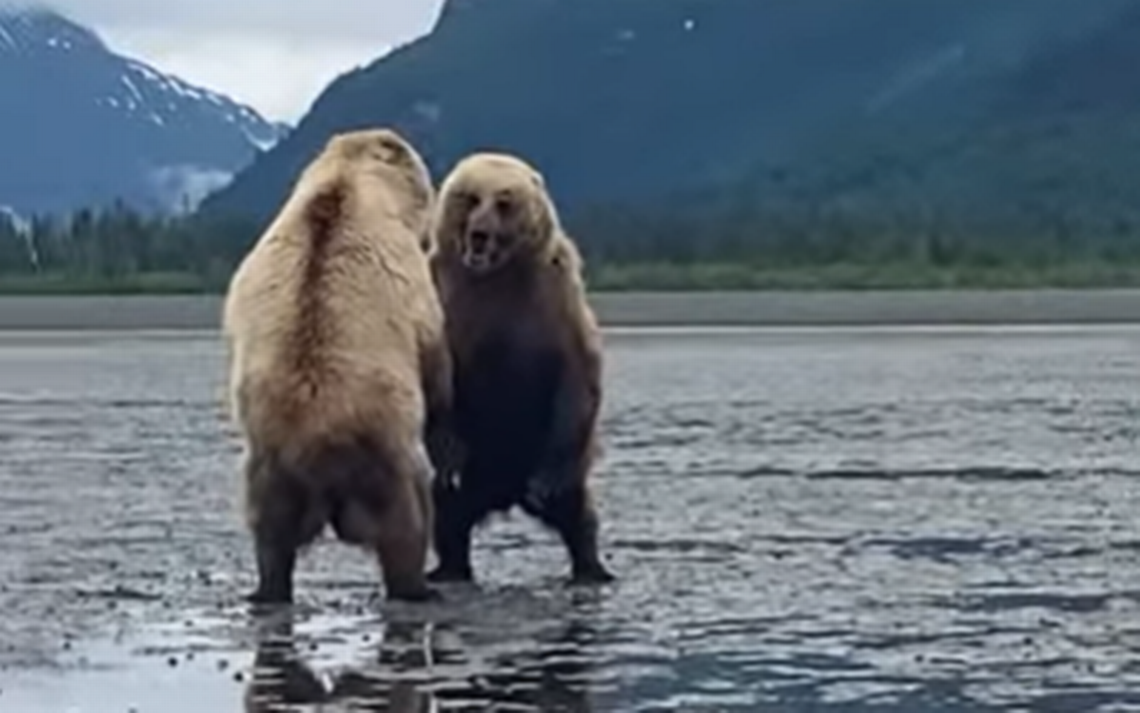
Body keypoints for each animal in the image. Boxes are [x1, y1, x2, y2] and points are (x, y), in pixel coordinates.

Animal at [220, 126, 456, 602]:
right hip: (386, 454)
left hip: (270, 469)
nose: (438, 187)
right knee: (407, 520)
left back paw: (266, 588)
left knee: (270, 536)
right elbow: (434, 362)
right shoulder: (409, 283)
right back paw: (417, 586)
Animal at [424, 150, 615, 584]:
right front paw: (450, 459)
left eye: (504, 201)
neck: (496, 279)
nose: (479, 234)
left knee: (578, 514)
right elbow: (437, 390)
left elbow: (578, 379)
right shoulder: (446, 306)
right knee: (448, 515)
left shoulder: (553, 304)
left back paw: (592, 568)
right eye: (470, 197)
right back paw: (447, 568)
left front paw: (547, 484)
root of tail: (503, 492)